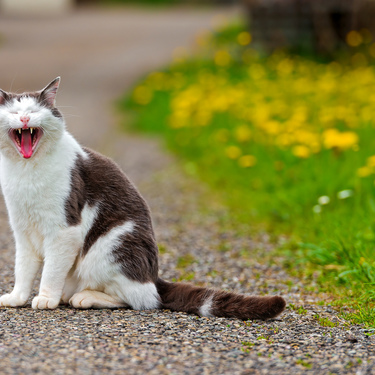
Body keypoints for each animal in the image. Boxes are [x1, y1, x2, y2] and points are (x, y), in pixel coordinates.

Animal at [0, 78, 286, 320]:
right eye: (13, 113)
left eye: (34, 111)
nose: (24, 118)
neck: (27, 172)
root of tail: (153, 276)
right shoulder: (22, 231)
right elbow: (23, 268)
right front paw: (17, 297)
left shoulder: (64, 231)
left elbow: (50, 271)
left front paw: (46, 298)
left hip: (109, 246)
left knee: (141, 298)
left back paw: (84, 297)